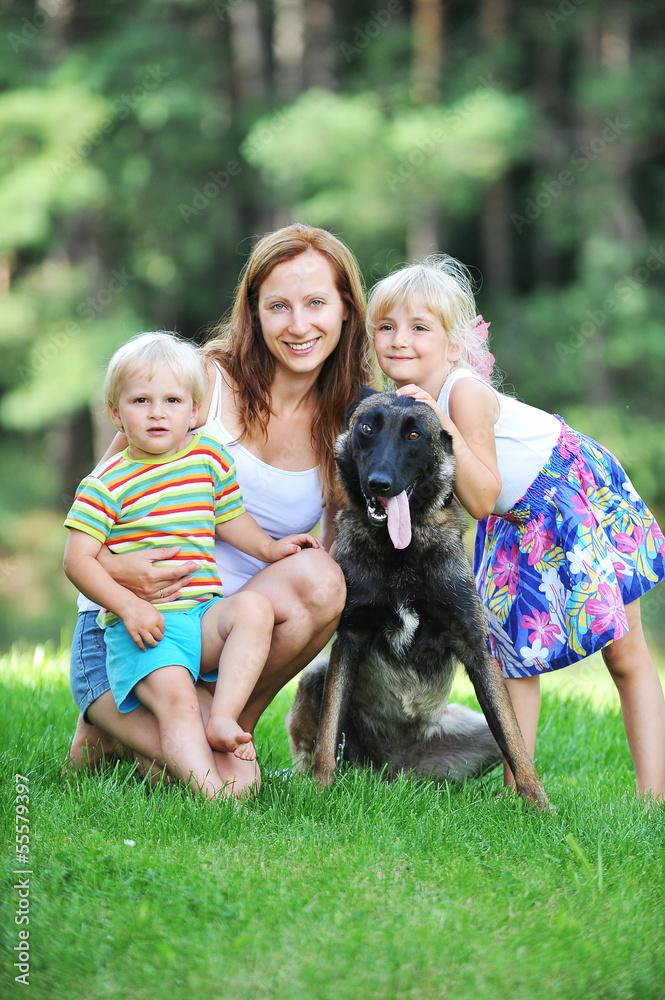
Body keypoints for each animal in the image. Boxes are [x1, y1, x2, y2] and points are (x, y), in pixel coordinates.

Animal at [288, 390, 548, 812]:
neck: (401, 555)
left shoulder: (474, 646)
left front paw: (538, 802)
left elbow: (515, 740)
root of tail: (398, 772)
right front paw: (320, 789)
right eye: (367, 428)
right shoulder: (350, 639)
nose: (379, 483)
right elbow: (329, 732)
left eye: (414, 435)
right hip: (315, 679)